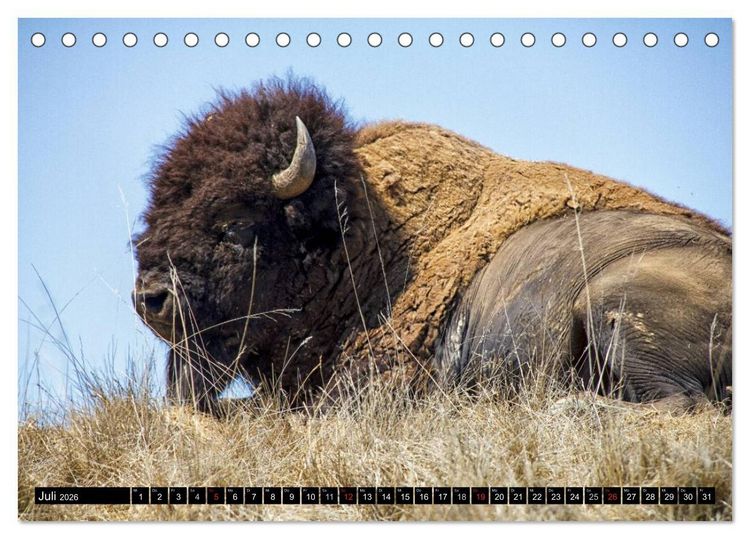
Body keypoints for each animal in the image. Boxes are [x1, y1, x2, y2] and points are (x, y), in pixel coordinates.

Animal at [133, 77, 731, 413]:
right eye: (154, 213)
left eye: (234, 224)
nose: (150, 298)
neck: (368, 242)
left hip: (612, 301)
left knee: (679, 402)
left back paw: (567, 408)